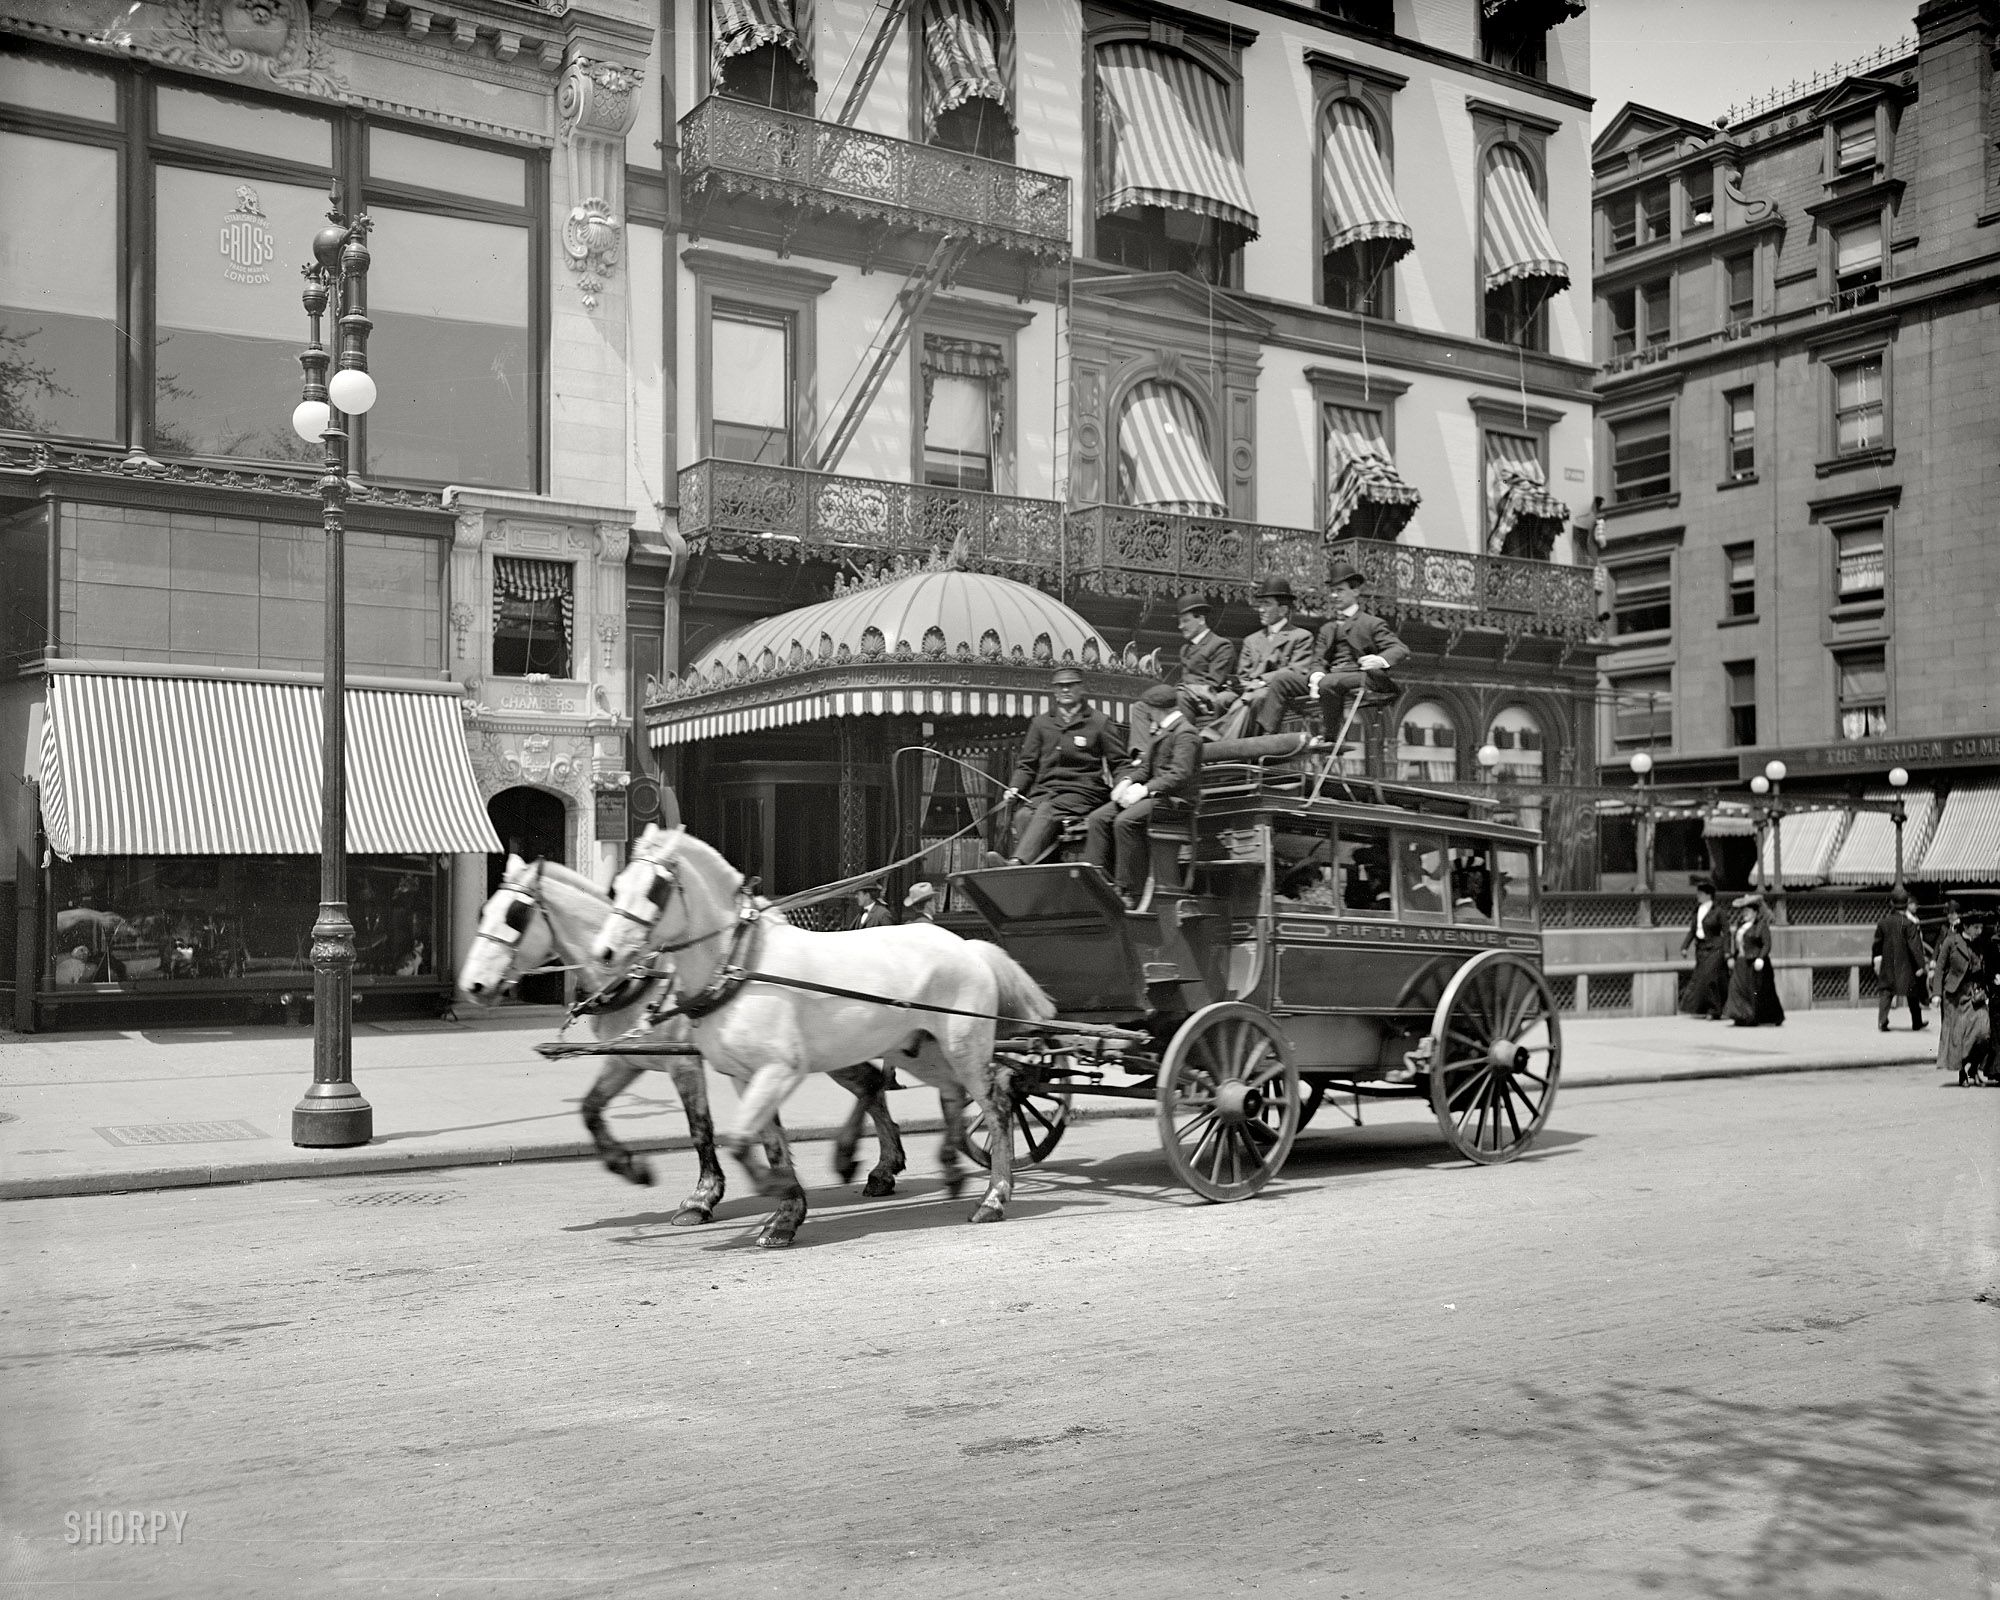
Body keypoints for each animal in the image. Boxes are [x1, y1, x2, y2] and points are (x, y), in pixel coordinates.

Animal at [456, 856, 916, 1232]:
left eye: (515, 914)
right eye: (484, 910)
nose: (472, 985)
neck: (639, 978)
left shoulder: (684, 1065)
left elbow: (700, 1129)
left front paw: (702, 1197)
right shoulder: (628, 1059)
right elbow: (590, 1109)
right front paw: (629, 1167)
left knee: (870, 1084)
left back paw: (874, 1164)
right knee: (870, 1085)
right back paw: (882, 1167)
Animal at [592, 832, 1056, 1240]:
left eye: (654, 887)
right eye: (617, 885)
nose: (605, 954)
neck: (742, 966)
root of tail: (967, 945)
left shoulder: (779, 1070)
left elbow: (739, 1142)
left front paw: (768, 1193)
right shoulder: (747, 1076)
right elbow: (769, 1143)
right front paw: (784, 1216)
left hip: (963, 1046)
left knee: (996, 1105)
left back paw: (994, 1197)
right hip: (919, 1051)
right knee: (953, 1093)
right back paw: (949, 1167)